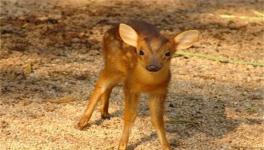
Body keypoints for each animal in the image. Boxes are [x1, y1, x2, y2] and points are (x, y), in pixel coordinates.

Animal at [75, 20, 199, 150]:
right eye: (141, 52)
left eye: (167, 53)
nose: (153, 66)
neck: (147, 84)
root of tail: (109, 30)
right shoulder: (130, 86)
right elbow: (130, 116)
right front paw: (122, 145)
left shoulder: (160, 91)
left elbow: (157, 120)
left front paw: (166, 147)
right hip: (114, 65)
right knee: (101, 84)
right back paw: (82, 122)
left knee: (109, 86)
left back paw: (104, 113)